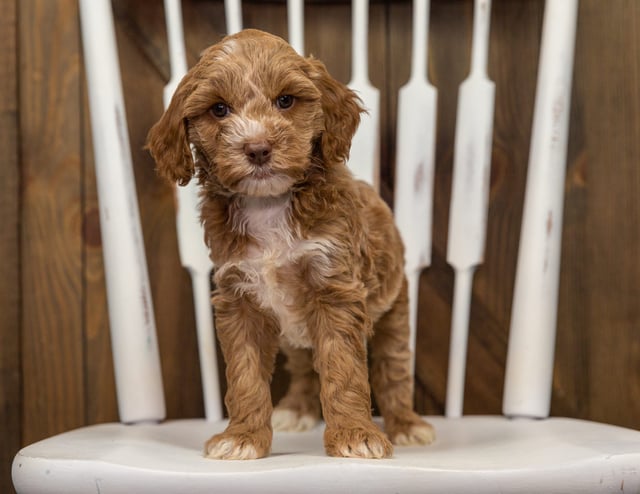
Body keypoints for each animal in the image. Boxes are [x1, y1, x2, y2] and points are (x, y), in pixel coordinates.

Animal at [148, 28, 432, 460]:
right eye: (218, 110)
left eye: (285, 101)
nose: (257, 148)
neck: (268, 204)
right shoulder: (238, 297)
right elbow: (245, 374)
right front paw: (243, 437)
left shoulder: (335, 288)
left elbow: (343, 369)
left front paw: (354, 435)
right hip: (296, 336)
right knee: (302, 367)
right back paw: (297, 409)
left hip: (394, 309)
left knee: (392, 368)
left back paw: (406, 424)